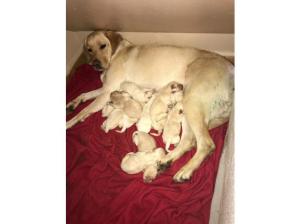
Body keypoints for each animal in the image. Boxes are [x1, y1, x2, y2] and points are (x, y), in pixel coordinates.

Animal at [66, 30, 234, 182]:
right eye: (89, 49)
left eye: (103, 45)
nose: (95, 64)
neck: (115, 53)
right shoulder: (105, 89)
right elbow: (84, 94)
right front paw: (72, 104)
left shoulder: (108, 91)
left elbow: (84, 111)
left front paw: (69, 121)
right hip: (188, 111)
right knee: (188, 141)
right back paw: (167, 161)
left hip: (191, 100)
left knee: (205, 144)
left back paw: (184, 170)